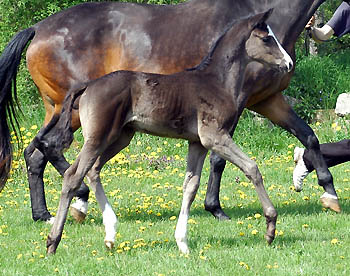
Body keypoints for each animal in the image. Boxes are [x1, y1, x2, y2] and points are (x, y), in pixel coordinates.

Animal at [0, 0, 340, 222]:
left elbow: (309, 135)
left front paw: (329, 192)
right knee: (49, 146)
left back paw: (42, 213)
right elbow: (219, 159)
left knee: (35, 152)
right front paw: (215, 208)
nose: (288, 63)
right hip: (72, 113)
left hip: (59, 109)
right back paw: (79, 199)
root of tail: (38, 28)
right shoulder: (238, 107)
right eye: (266, 38)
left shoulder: (269, 100)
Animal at [45, 11, 292, 254]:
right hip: (98, 138)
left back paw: (110, 234)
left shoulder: (197, 143)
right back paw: (53, 242)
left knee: (93, 170)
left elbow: (190, 186)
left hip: (121, 137)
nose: (289, 63)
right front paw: (270, 226)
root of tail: (87, 85)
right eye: (266, 38)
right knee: (73, 176)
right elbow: (252, 168)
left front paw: (182, 242)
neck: (217, 82)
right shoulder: (215, 137)